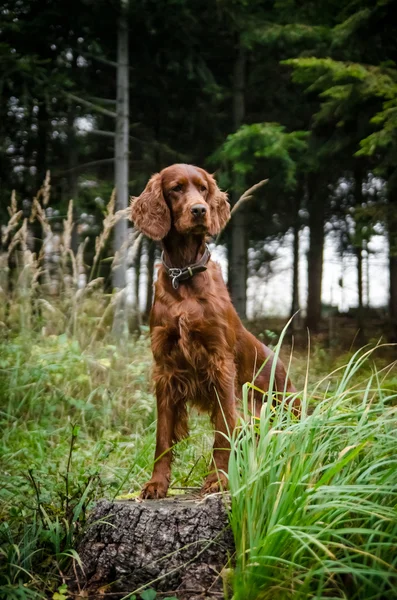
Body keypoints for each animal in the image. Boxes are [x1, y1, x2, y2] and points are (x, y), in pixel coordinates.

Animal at [130, 163, 296, 496]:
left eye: (203, 188)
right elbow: (163, 436)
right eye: (176, 189)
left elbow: (223, 430)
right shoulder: (165, 369)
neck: (184, 275)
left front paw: (218, 479)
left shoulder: (220, 364)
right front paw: (157, 483)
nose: (199, 210)